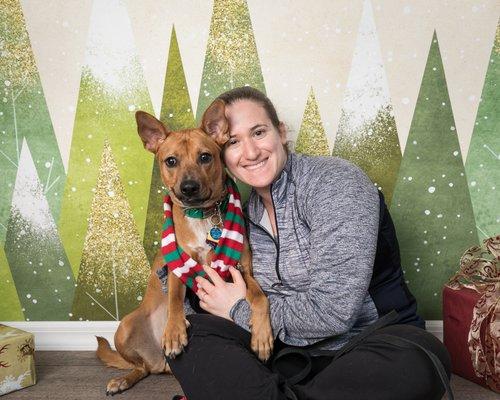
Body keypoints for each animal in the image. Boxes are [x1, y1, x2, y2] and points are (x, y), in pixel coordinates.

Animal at [95, 100, 272, 394]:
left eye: (205, 157)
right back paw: (124, 379)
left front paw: (262, 336)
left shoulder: (243, 272)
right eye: (171, 161)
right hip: (125, 327)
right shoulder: (178, 267)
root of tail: (158, 362)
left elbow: (260, 297)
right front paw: (175, 332)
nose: (189, 187)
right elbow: (176, 300)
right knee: (139, 367)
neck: (203, 215)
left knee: (145, 369)